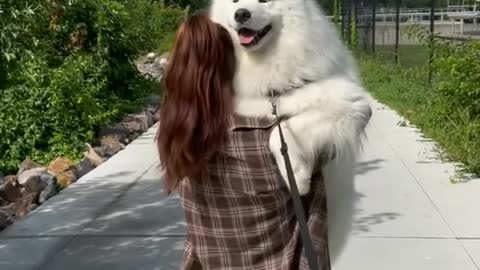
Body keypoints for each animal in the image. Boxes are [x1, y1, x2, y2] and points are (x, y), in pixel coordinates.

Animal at [209, 0, 372, 195]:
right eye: (234, 2)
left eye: (264, 1)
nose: (241, 14)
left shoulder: (347, 100)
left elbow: (280, 132)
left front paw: (296, 176)